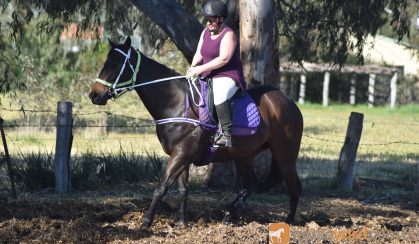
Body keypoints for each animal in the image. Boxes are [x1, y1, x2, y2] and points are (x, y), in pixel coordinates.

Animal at [89, 36, 306, 229]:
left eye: (116, 64)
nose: (94, 95)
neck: (176, 103)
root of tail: (286, 99)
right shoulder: (182, 157)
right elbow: (182, 190)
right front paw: (181, 223)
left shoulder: (180, 154)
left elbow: (161, 187)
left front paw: (146, 222)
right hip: (244, 155)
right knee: (249, 187)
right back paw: (228, 216)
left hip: (284, 155)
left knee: (294, 187)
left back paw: (288, 222)